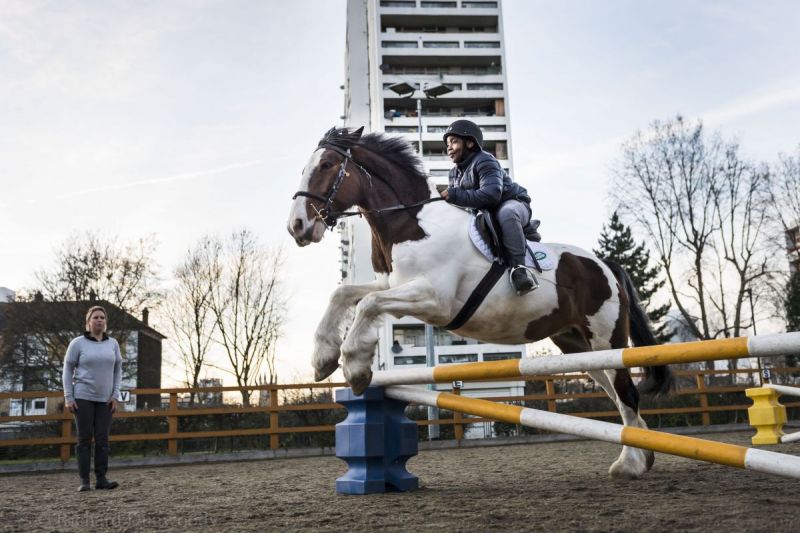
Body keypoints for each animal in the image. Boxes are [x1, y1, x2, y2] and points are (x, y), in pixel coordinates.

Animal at [287, 126, 674, 479]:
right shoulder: (392, 284)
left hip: (606, 338)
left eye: (326, 165)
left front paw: (355, 367)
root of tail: (605, 264)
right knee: (617, 393)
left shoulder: (434, 298)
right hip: (579, 346)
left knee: (627, 393)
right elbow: (344, 294)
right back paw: (642, 456)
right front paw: (323, 359)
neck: (412, 223)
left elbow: (368, 304)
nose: (297, 226)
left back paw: (631, 464)